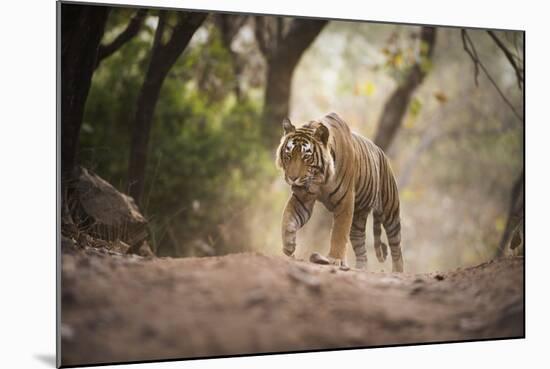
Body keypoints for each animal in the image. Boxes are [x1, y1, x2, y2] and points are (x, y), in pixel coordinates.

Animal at [278, 113, 404, 272]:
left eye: (306, 157)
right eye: (288, 155)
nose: (292, 178)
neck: (320, 180)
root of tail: (382, 153)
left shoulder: (345, 201)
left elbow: (339, 232)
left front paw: (334, 259)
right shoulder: (303, 198)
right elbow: (288, 216)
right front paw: (289, 244)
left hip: (390, 212)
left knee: (396, 246)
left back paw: (398, 271)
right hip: (358, 219)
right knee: (361, 247)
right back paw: (361, 267)